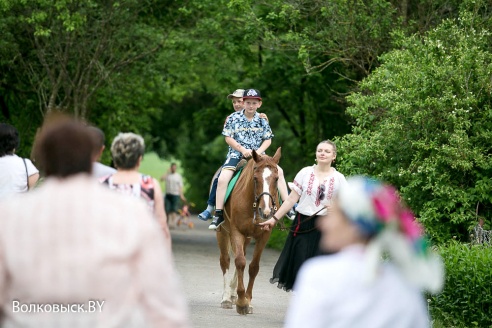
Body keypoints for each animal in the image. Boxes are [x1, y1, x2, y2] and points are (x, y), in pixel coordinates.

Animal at [216, 147, 280, 314]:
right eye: (255, 178)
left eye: (277, 179)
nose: (266, 211)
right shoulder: (236, 231)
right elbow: (239, 262)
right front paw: (241, 302)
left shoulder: (264, 235)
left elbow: (253, 267)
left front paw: (247, 300)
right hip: (222, 232)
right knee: (225, 261)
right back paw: (226, 298)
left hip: (247, 238)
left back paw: (232, 295)